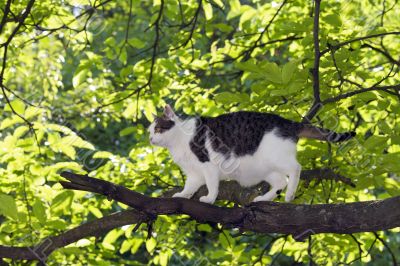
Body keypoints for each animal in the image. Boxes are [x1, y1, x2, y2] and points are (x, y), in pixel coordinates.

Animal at [148, 104, 354, 204]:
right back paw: (263, 198)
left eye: (157, 129)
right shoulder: (194, 173)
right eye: (149, 131)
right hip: (265, 168)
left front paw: (209, 198)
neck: (179, 141)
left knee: (296, 169)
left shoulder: (208, 165)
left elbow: (212, 185)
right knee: (281, 181)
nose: (150, 139)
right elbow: (190, 186)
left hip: (277, 157)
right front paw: (183, 195)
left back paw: (289, 195)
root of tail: (289, 123)